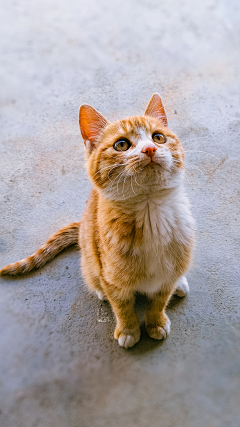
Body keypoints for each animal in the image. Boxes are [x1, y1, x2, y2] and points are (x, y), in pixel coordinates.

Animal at [0, 93, 194, 348]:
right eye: (121, 144)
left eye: (158, 137)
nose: (150, 148)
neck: (150, 210)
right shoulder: (111, 276)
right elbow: (121, 305)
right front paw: (128, 329)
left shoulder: (167, 275)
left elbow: (159, 300)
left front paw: (156, 321)